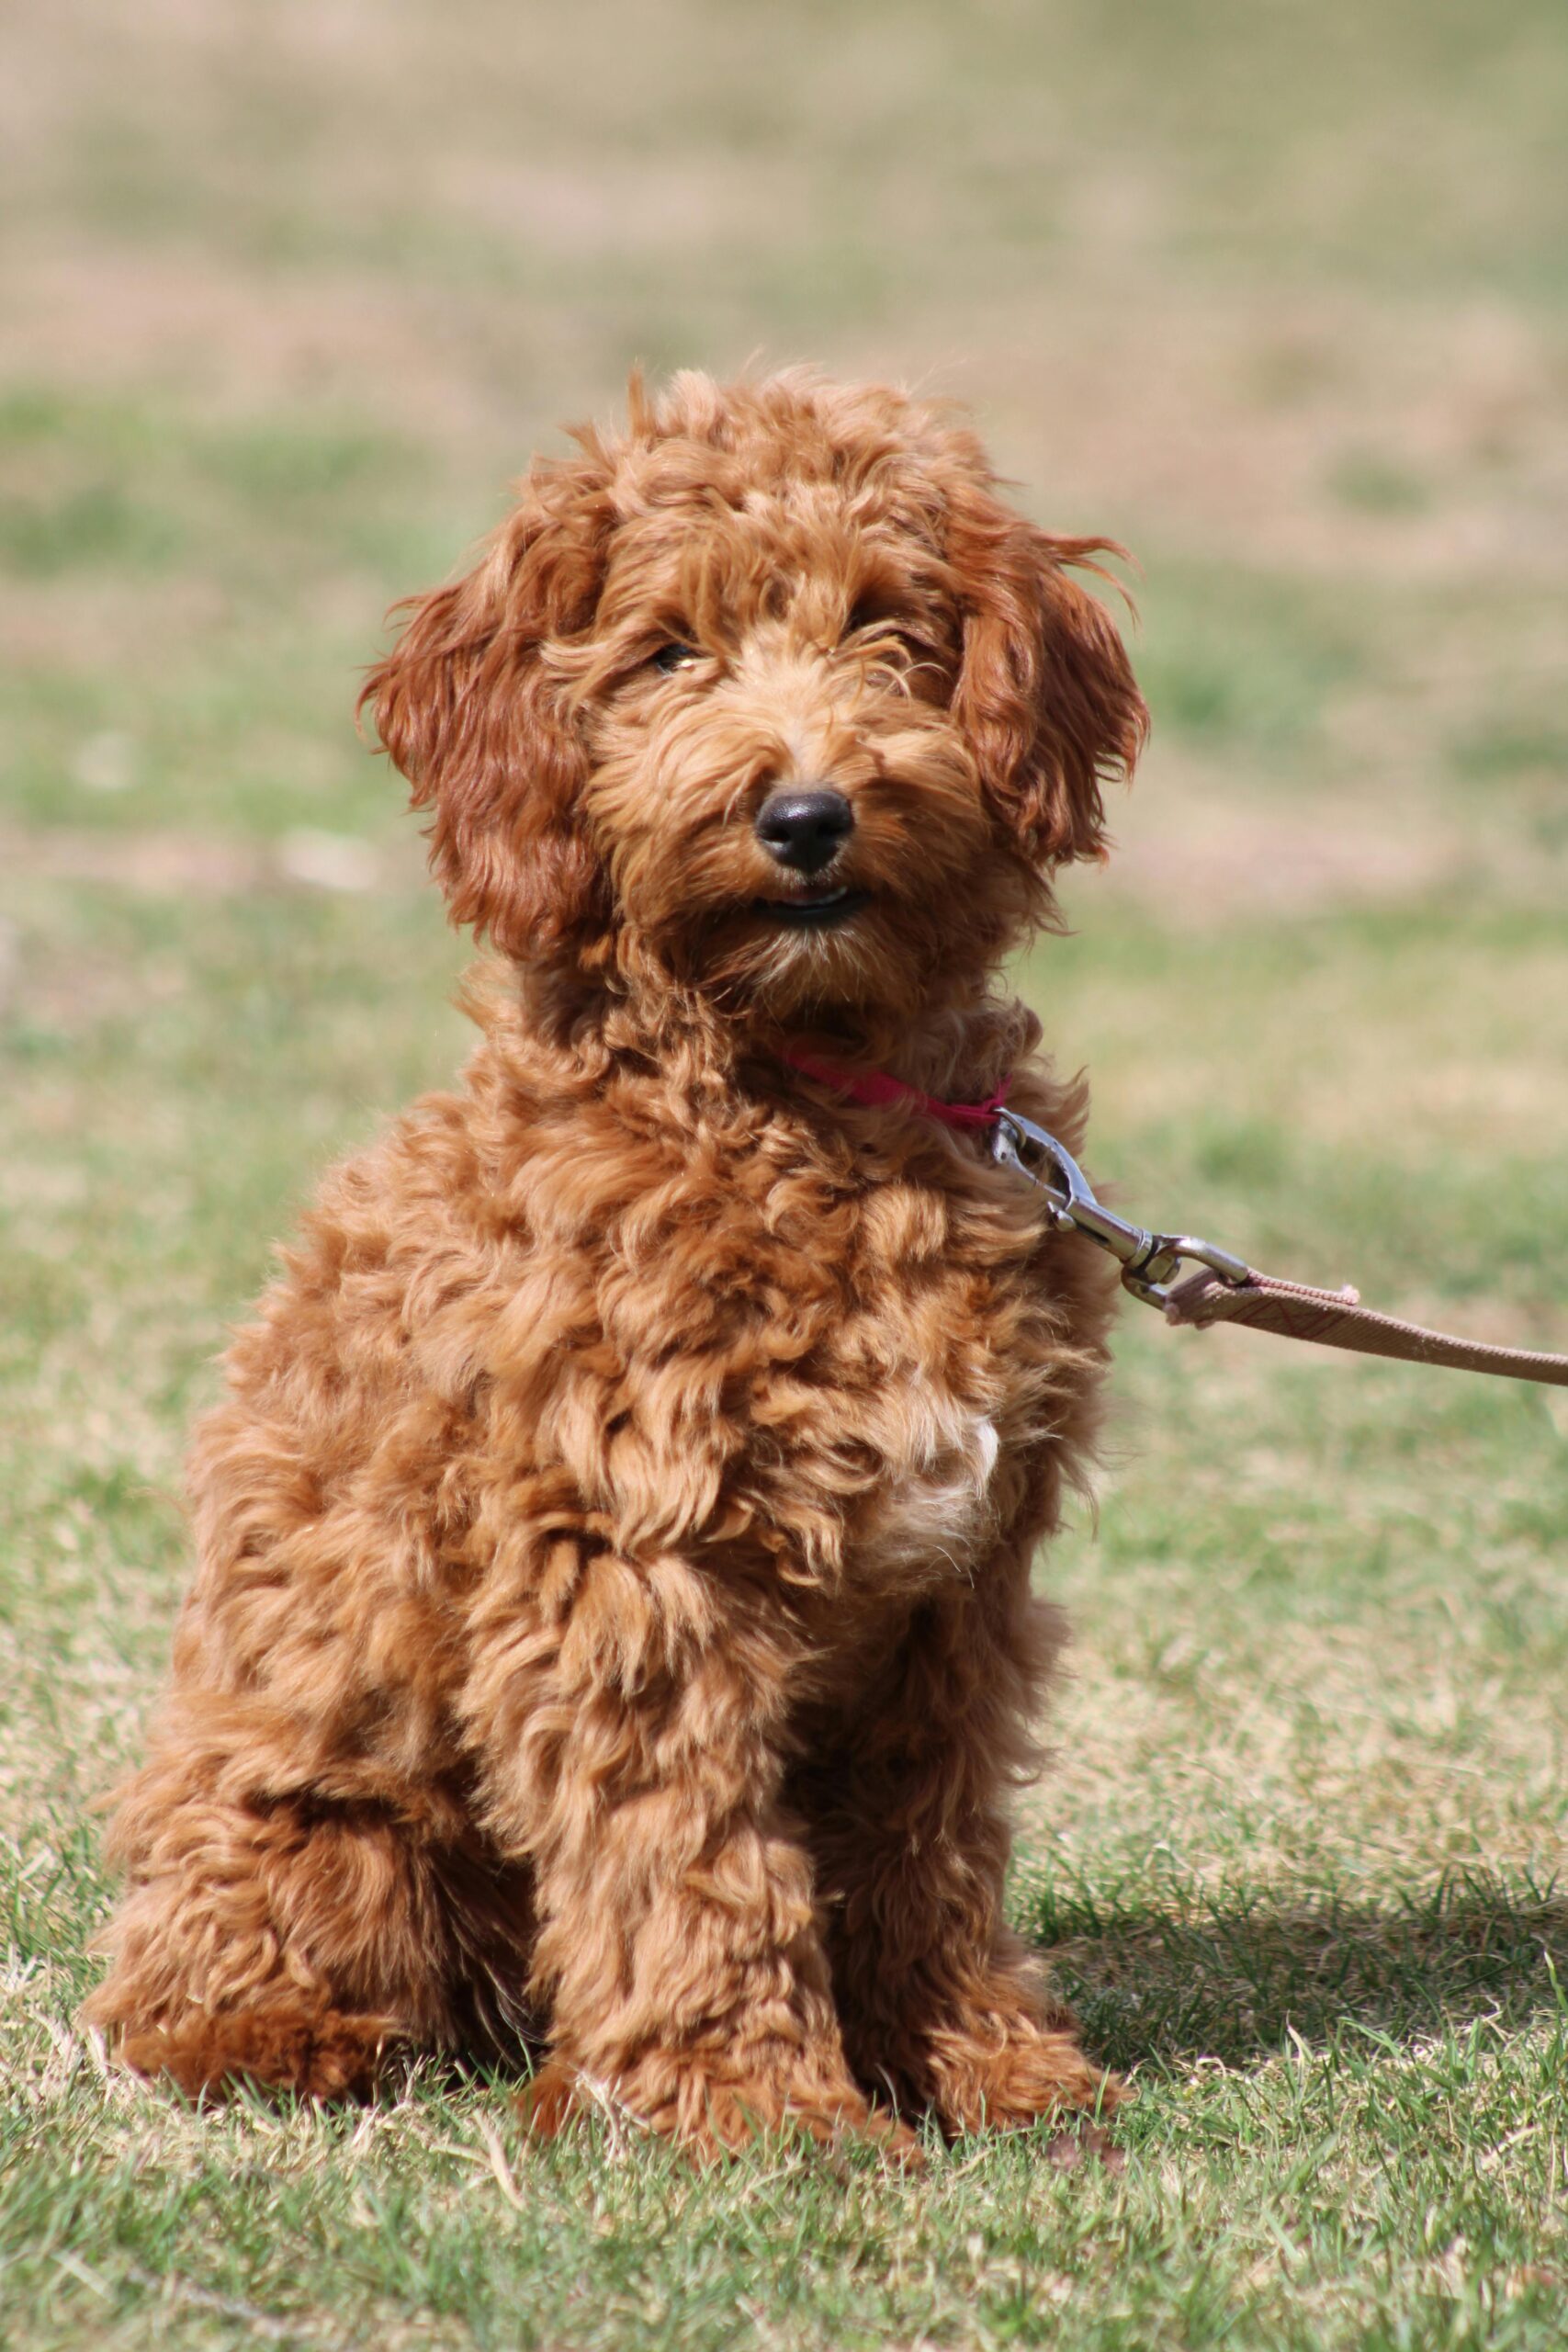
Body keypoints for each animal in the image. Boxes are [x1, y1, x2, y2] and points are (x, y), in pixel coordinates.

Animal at [88, 376, 1142, 2154]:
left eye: (891, 633)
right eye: (664, 654)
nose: (806, 816)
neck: (803, 1095)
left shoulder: (957, 1591)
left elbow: (923, 1841)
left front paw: (977, 2063)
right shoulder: (634, 1558)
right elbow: (690, 1854)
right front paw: (758, 2113)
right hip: (322, 1812)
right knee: (198, 1975)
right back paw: (283, 2037)